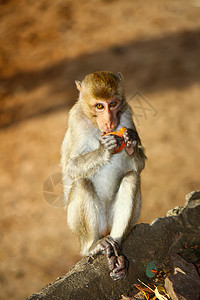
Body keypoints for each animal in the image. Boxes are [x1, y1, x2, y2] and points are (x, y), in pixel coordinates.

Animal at [60, 71, 146, 282]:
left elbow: (139, 166)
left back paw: (117, 252)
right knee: (82, 183)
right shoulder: (75, 120)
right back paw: (94, 246)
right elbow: (71, 168)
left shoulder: (127, 114)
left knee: (131, 178)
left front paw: (131, 142)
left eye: (113, 104)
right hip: (79, 225)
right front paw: (104, 150)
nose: (109, 122)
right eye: (99, 106)